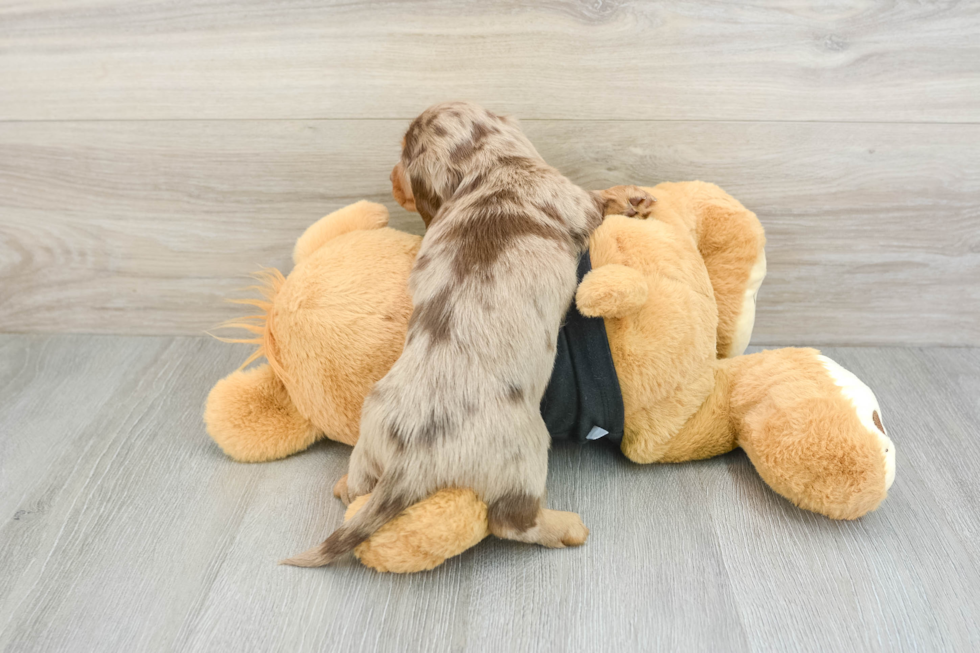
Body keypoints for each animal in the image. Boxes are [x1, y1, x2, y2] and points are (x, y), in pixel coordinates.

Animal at [284, 102, 652, 564]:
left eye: (402, 154)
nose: (389, 177)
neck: (489, 167)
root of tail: (409, 463)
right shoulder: (572, 199)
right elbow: (600, 199)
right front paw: (631, 197)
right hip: (528, 451)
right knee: (512, 522)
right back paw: (565, 527)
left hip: (372, 429)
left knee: (361, 483)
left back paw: (345, 485)